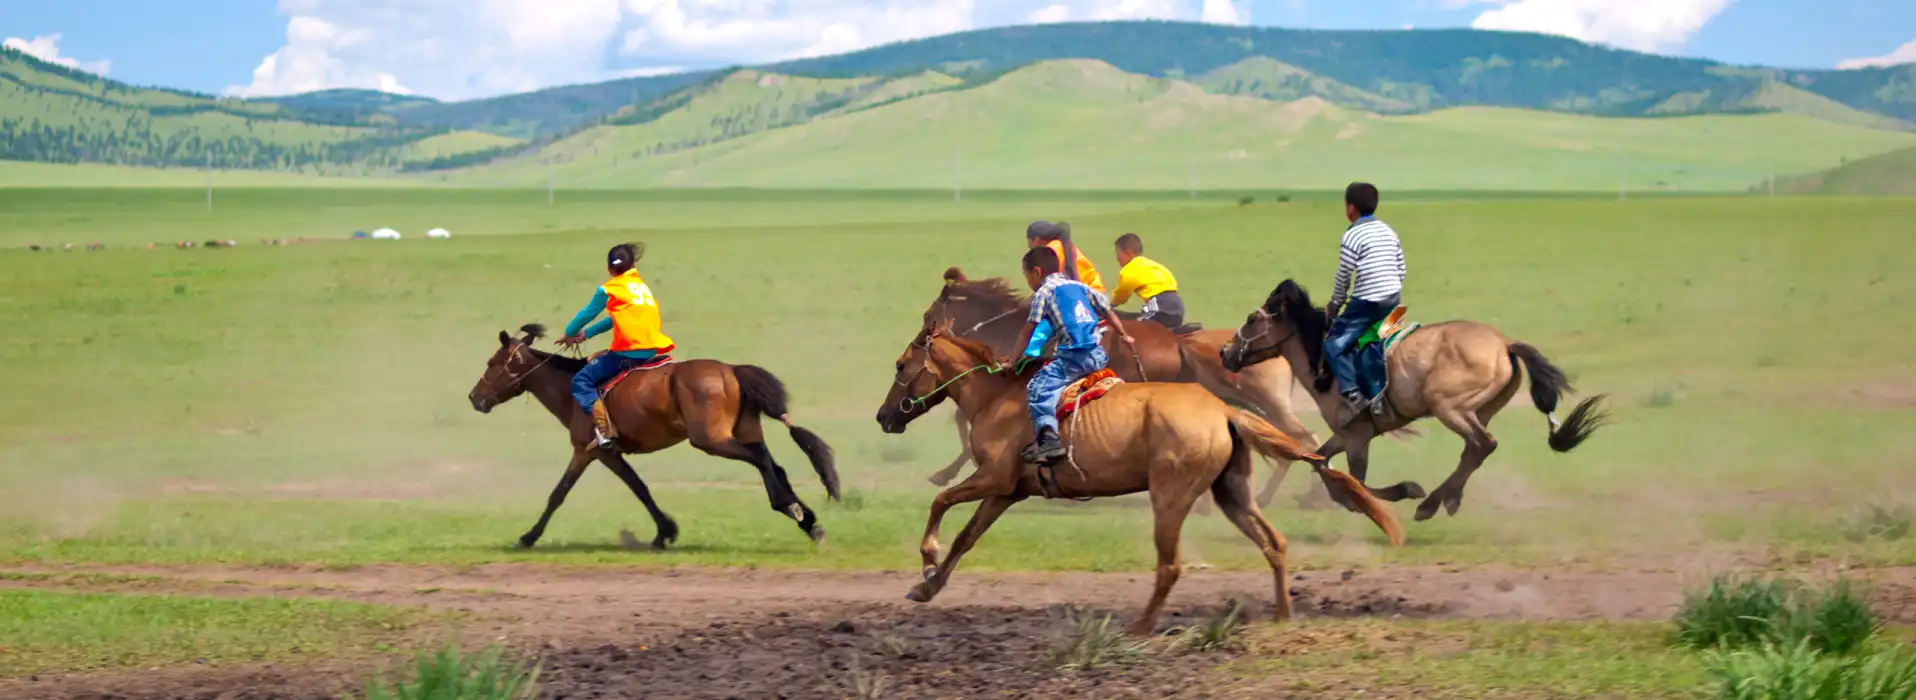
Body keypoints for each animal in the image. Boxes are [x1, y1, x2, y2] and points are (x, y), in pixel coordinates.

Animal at [468, 324, 841, 549]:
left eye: (491, 362)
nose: (474, 397)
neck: (569, 388)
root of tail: (732, 371)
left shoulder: (591, 451)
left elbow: (559, 493)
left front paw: (528, 536)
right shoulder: (611, 454)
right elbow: (641, 488)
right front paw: (665, 532)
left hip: (711, 440)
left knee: (762, 460)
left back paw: (791, 508)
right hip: (743, 431)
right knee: (773, 464)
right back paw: (808, 521)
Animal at [875, 324, 1403, 635]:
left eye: (900, 365)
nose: (884, 416)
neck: (996, 395)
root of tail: (1223, 411)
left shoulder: (992, 478)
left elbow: (941, 501)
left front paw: (926, 559)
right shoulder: (1007, 492)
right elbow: (965, 537)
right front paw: (927, 587)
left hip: (1169, 498)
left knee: (1169, 566)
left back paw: (1140, 626)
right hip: (1231, 493)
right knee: (1273, 543)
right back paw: (1281, 615)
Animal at [919, 267, 1323, 507]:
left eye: (929, 314)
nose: (926, 333)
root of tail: (1177, 343)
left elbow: (964, 421)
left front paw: (947, 472)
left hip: (1268, 401)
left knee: (1302, 438)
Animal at [1220, 280, 1608, 521]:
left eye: (1253, 319)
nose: (1225, 352)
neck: (1323, 363)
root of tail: (1504, 344)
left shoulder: (1358, 436)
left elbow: (1354, 479)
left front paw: (1401, 491)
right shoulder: (1347, 434)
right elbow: (1321, 462)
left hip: (1450, 407)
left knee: (1483, 444)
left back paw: (1431, 502)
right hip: (1479, 410)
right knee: (1474, 450)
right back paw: (1446, 500)